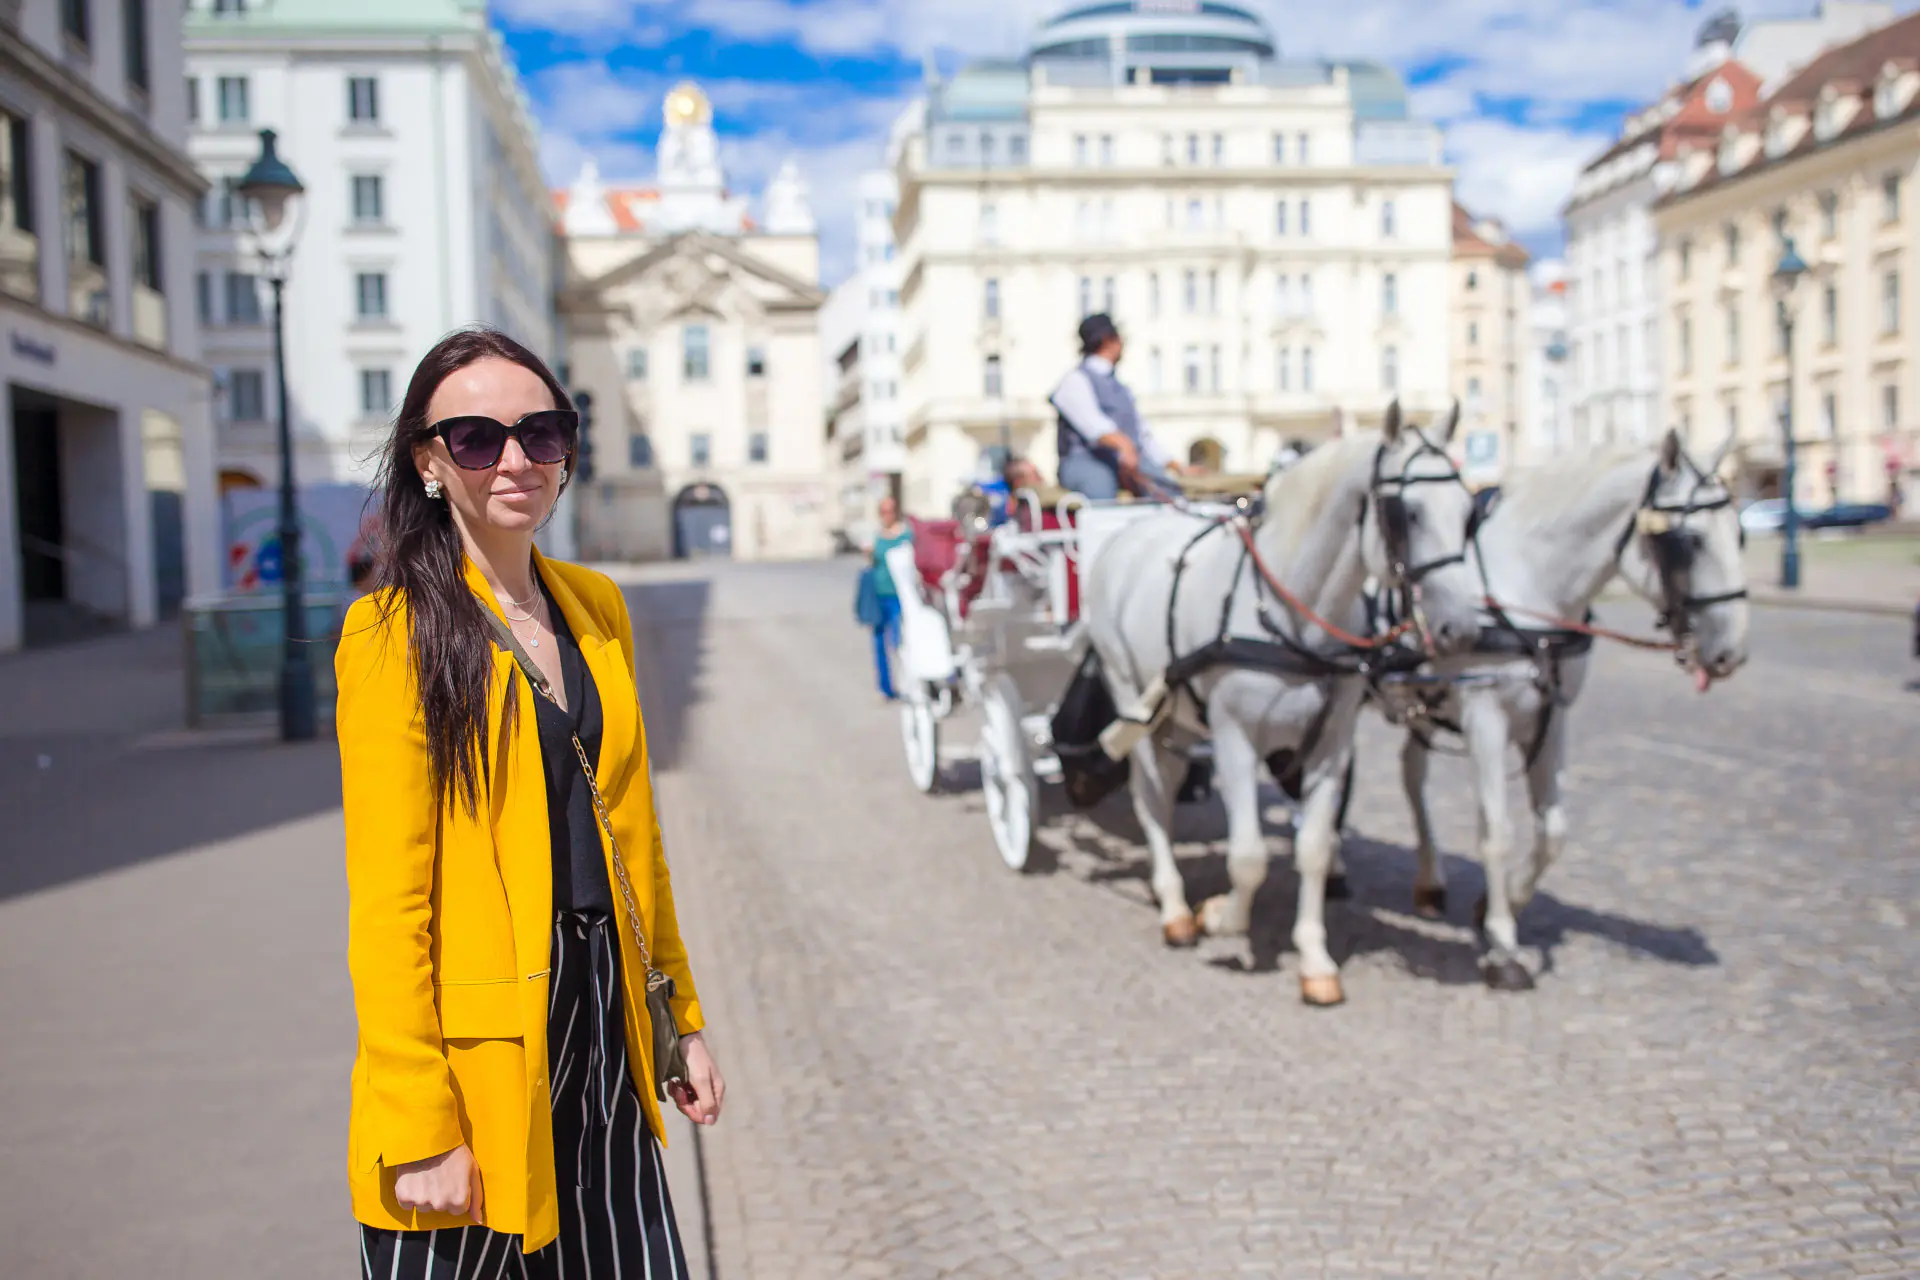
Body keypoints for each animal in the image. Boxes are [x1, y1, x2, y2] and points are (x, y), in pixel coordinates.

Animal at [1082, 404, 1482, 1005]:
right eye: (1405, 514)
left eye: (1467, 512)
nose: (1462, 629)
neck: (1289, 614)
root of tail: (1128, 533)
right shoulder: (1234, 740)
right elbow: (1248, 857)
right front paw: (1219, 917)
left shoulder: (1331, 745)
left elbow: (1314, 847)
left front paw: (1315, 960)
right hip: (1134, 700)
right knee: (1149, 798)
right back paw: (1175, 906)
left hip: (1177, 715)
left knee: (1169, 787)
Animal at [1374, 429, 1751, 990]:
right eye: (1690, 541)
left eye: (1740, 533)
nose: (1732, 652)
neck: (1525, 586)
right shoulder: (1484, 715)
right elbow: (1497, 832)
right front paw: (1503, 946)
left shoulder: (1550, 720)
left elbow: (1553, 831)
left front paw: (1500, 902)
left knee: (1411, 771)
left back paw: (1430, 881)